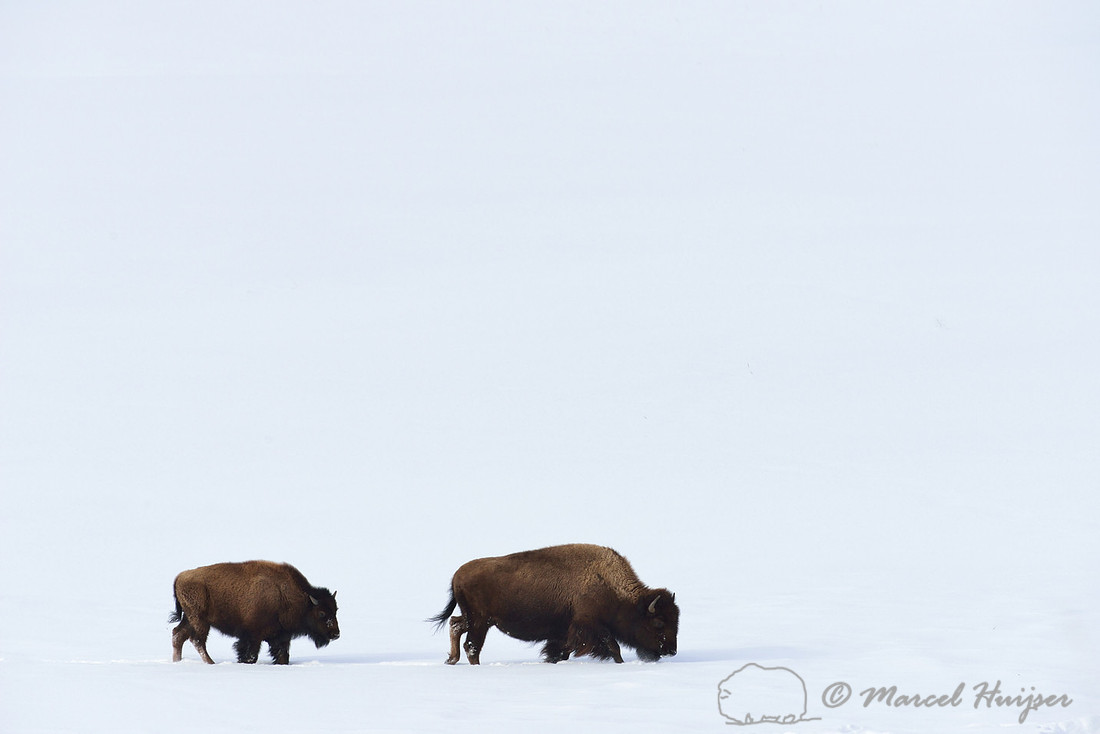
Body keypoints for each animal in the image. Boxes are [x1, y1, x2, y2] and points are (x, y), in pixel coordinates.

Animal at [170, 560, 339, 665]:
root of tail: (179, 577)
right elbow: (251, 655)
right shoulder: (253, 636)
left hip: (189, 618)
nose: (336, 634)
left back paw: (178, 661)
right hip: (199, 620)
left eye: (336, 610)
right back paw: (211, 663)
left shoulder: (282, 636)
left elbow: (283, 656)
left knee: (178, 635)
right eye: (322, 613)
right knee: (197, 640)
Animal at [431, 543, 678, 664]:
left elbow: (562, 650)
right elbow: (613, 646)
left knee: (455, 625)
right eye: (658, 623)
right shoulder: (589, 625)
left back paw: (451, 660)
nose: (671, 651)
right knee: (471, 646)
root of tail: (457, 575)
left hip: (476, 619)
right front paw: (620, 663)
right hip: (480, 621)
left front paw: (552, 660)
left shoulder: (566, 631)